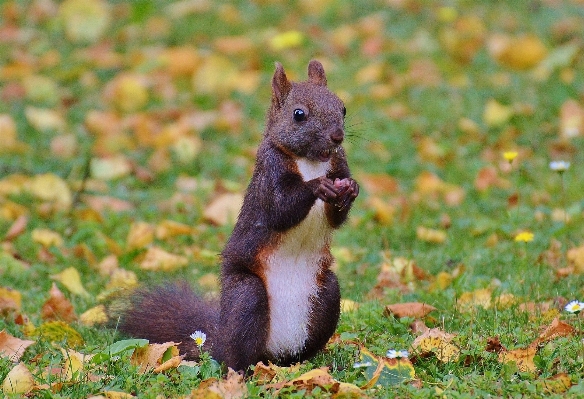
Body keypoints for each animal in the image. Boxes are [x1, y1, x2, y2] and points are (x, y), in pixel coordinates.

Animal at [118, 59, 358, 372]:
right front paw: (317, 186)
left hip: (327, 294)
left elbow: (335, 217)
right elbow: (280, 210)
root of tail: (272, 355)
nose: (337, 136)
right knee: (237, 355)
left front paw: (350, 189)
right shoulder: (268, 174)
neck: (312, 162)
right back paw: (243, 372)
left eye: (343, 108)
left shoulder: (338, 164)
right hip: (247, 297)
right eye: (299, 114)